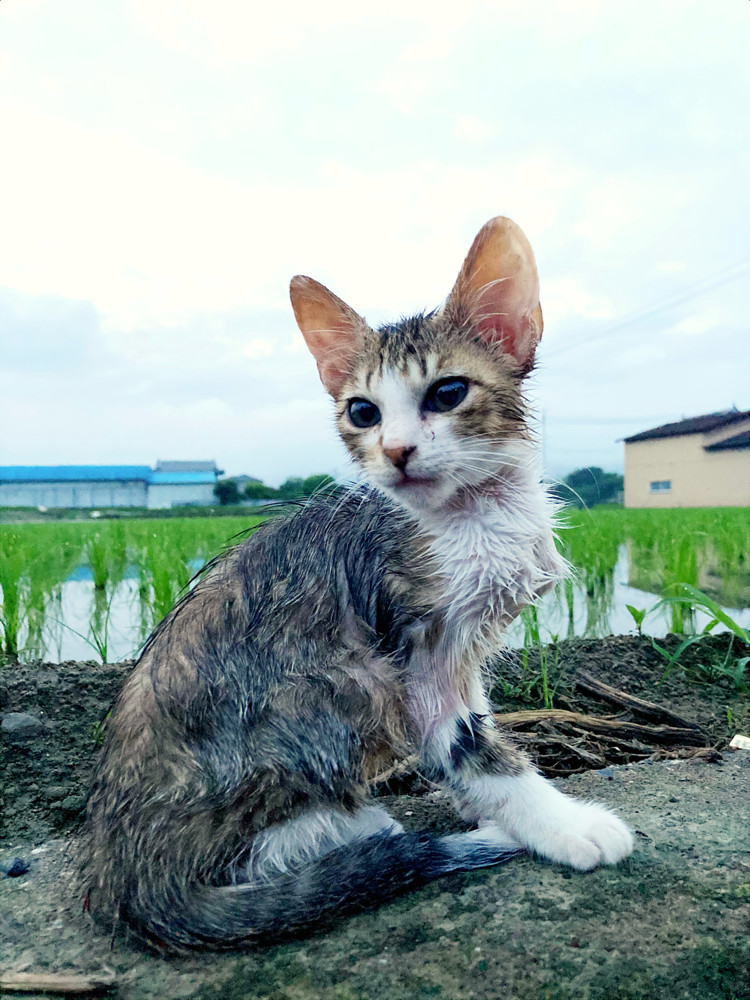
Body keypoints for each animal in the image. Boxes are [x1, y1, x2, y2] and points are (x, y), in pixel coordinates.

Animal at [81, 215, 636, 948]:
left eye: (448, 393)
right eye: (363, 412)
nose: (397, 452)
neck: (473, 515)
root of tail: (122, 869)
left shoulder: (460, 656)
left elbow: (481, 734)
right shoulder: (417, 652)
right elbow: (475, 752)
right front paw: (561, 825)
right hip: (347, 680)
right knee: (249, 853)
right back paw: (356, 831)